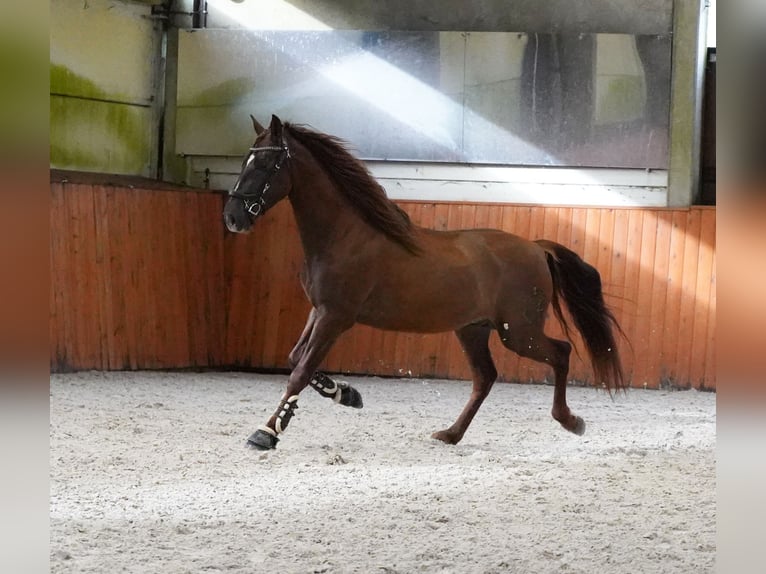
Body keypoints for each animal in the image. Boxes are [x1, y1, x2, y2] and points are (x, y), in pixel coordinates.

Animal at [224, 115, 624, 452]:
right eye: (246, 160)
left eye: (266, 165)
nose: (233, 218)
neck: (345, 235)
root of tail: (537, 247)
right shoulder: (319, 310)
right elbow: (296, 359)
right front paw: (347, 394)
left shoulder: (336, 316)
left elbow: (300, 372)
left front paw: (266, 433)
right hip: (473, 329)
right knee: (485, 377)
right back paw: (450, 434)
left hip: (519, 333)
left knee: (560, 353)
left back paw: (570, 421)